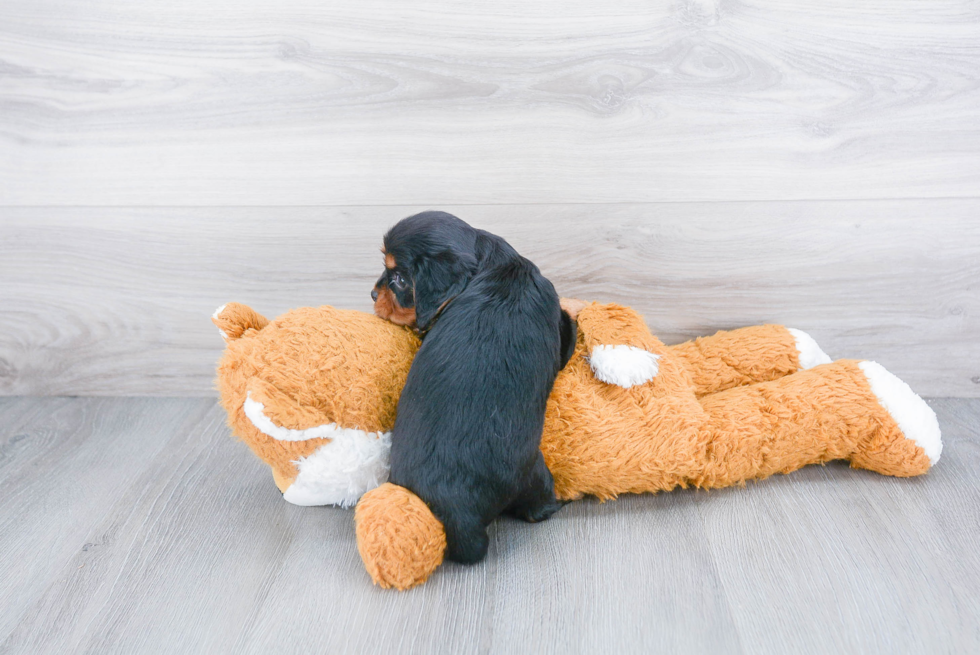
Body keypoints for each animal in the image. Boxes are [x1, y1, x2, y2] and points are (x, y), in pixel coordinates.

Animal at [372, 211, 580, 564]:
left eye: (399, 279)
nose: (373, 294)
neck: (495, 266)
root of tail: (458, 514)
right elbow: (568, 328)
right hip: (533, 472)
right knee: (537, 508)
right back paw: (561, 500)